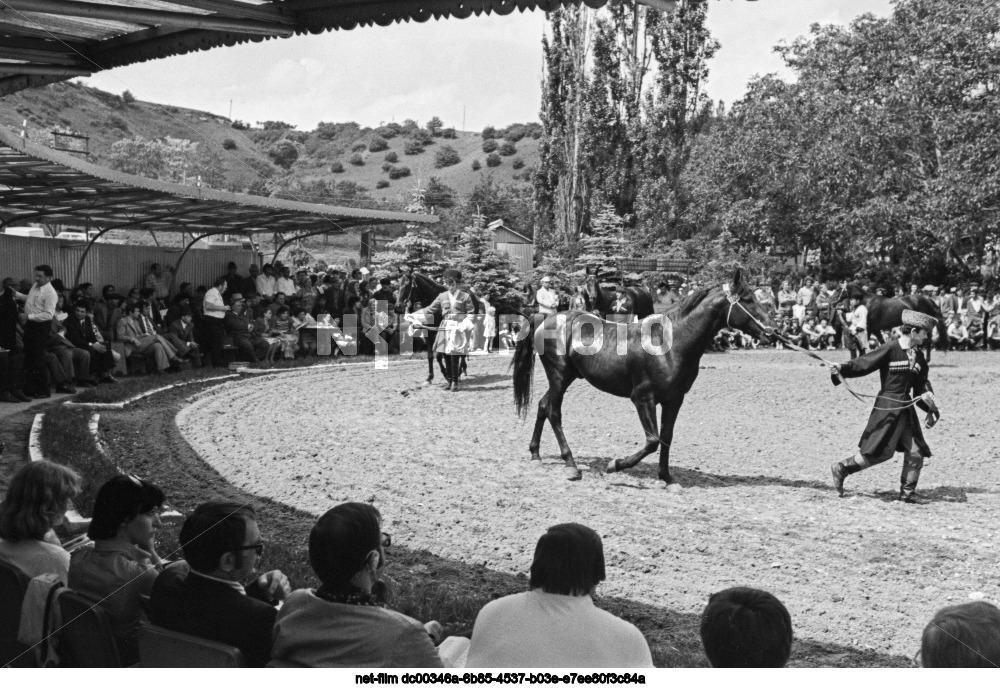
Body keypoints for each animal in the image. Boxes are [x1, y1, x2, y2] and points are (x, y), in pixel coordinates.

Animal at [512, 268, 776, 484]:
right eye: (748, 299)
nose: (772, 330)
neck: (669, 343)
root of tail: (546, 318)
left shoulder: (674, 399)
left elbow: (667, 436)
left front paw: (666, 477)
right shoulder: (642, 398)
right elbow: (652, 441)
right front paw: (615, 465)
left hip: (566, 378)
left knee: (543, 405)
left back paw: (535, 454)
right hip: (558, 375)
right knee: (554, 412)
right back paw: (571, 465)